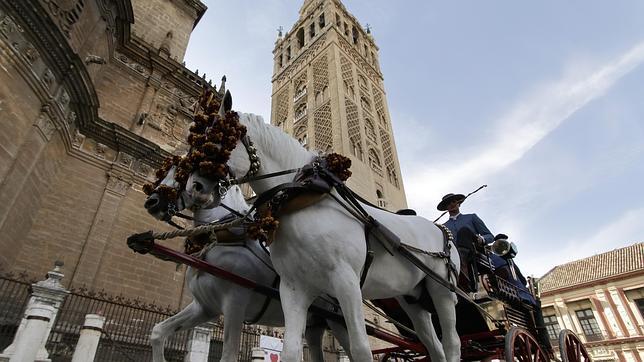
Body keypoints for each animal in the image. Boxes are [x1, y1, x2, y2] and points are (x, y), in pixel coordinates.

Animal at [143, 167, 352, 362]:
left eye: (183, 170)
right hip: (314, 324)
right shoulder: (204, 308)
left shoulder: (235, 303)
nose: (152, 202)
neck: (226, 236)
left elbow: (228, 355)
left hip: (339, 323)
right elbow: (158, 332)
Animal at [189, 109, 460, 362]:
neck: (303, 197)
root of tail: (440, 229)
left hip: (442, 291)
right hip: (412, 298)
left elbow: (361, 349)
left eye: (221, 139)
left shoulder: (347, 281)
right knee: (434, 346)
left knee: (452, 343)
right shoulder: (293, 288)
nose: (194, 187)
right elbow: (290, 351)